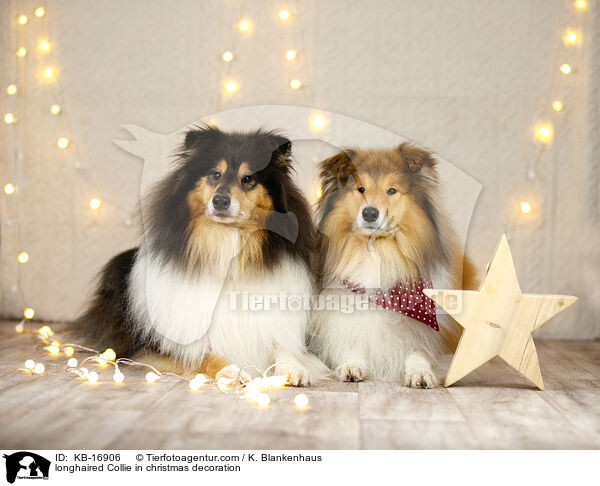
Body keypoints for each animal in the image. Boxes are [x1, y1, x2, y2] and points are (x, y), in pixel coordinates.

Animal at [79, 127, 326, 386]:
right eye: (215, 174)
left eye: (248, 178)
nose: (220, 201)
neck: (225, 240)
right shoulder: (160, 345)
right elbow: (203, 355)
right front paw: (233, 371)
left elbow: (285, 349)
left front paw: (295, 369)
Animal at [310, 143, 474, 388]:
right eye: (360, 189)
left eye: (391, 191)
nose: (370, 213)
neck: (378, 252)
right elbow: (349, 340)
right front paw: (350, 365)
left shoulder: (425, 329)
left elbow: (420, 351)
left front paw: (420, 372)